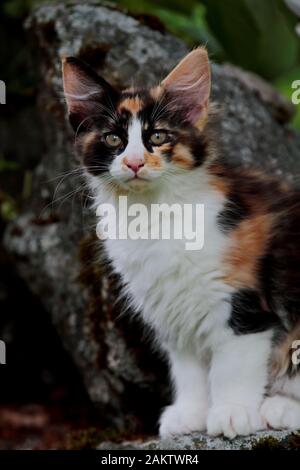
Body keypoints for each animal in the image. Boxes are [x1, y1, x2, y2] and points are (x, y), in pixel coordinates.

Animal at [62, 47, 300, 436]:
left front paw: (232, 412)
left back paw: (280, 408)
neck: (153, 214)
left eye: (157, 137)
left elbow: (232, 366)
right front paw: (191, 413)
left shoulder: (242, 304)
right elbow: (188, 369)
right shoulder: (171, 308)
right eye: (113, 139)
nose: (134, 162)